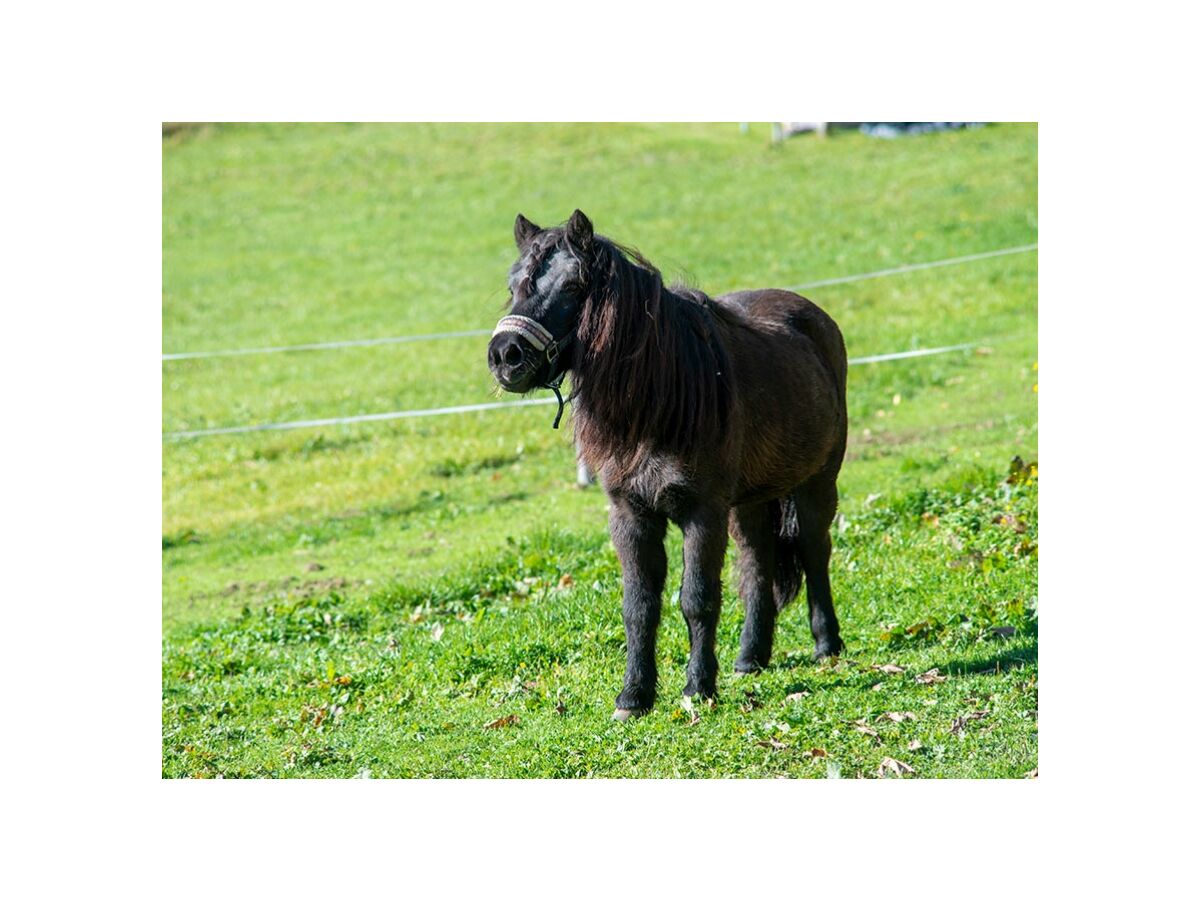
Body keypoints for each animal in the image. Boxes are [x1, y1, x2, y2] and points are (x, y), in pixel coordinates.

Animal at [482, 210, 849, 720]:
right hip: (751, 501)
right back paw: (750, 658)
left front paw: (698, 688)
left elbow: (697, 599)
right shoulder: (631, 516)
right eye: (513, 283)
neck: (662, 401)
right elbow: (639, 606)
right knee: (758, 562)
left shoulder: (703, 513)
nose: (505, 356)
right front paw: (634, 696)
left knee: (815, 550)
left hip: (817, 482)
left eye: (573, 286)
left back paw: (826, 644)